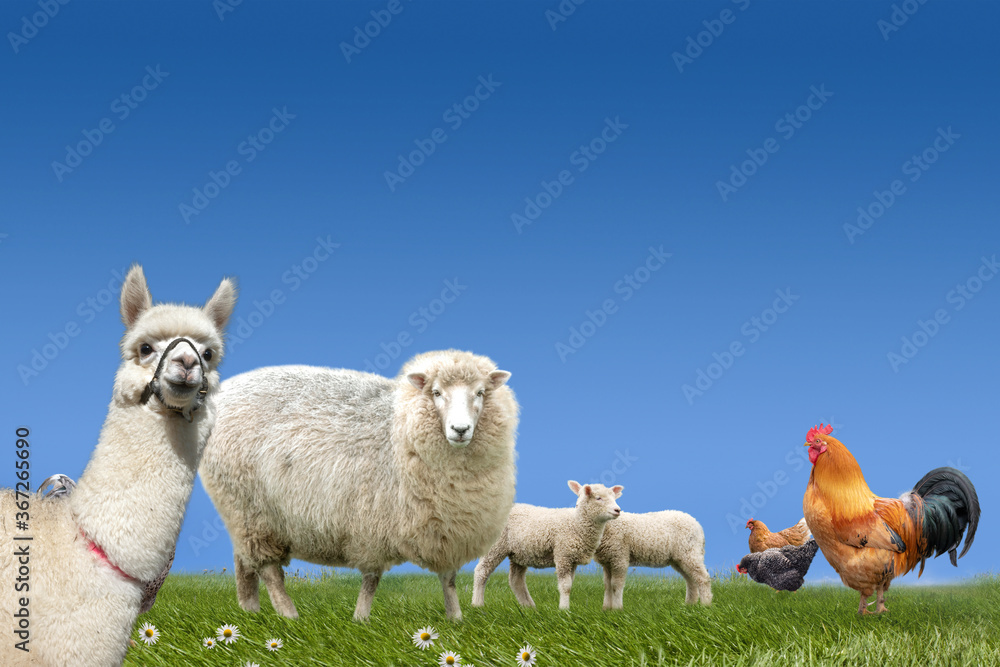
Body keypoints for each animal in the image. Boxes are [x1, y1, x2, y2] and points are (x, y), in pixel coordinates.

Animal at [198, 349, 519, 622]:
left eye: (480, 393)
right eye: (436, 393)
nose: (460, 430)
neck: (400, 431)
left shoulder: (447, 528)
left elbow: (448, 578)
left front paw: (456, 618)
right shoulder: (372, 521)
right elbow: (371, 579)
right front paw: (361, 618)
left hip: (241, 512)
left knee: (243, 562)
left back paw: (249, 609)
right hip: (250, 508)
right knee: (268, 569)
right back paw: (289, 616)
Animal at [472, 481, 623, 610]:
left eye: (613, 497)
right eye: (598, 498)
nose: (618, 510)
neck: (576, 523)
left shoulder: (572, 559)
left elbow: (570, 584)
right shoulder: (563, 555)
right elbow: (565, 586)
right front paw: (564, 609)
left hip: (519, 553)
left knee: (515, 580)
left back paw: (529, 607)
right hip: (495, 546)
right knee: (481, 572)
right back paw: (477, 604)